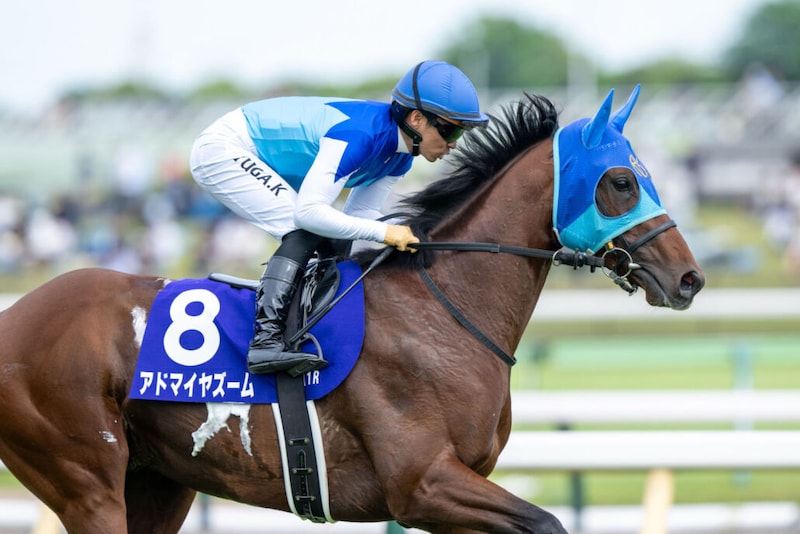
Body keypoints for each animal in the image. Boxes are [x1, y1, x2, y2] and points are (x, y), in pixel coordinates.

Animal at [0, 86, 704, 534]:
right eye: (622, 182)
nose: (690, 279)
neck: (441, 312)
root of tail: (15, 316)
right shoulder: (422, 485)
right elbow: (548, 521)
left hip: (158, 480)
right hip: (86, 479)